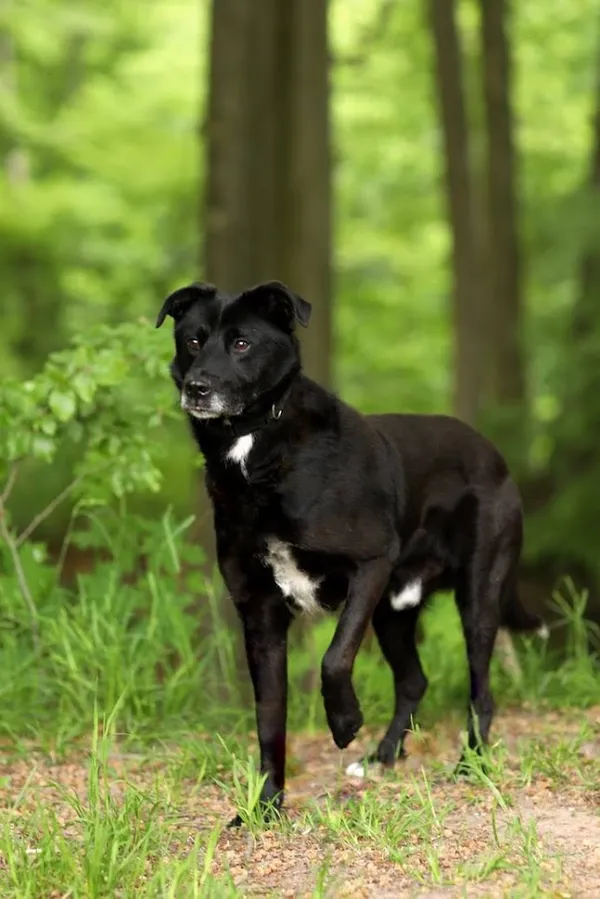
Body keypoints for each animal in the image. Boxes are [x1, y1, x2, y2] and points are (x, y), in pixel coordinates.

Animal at [155, 280, 544, 824]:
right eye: (193, 340)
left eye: (241, 344)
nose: (197, 388)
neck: (257, 447)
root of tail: (492, 452)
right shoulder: (260, 615)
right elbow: (269, 721)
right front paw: (266, 807)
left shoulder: (370, 565)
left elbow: (334, 657)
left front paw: (344, 722)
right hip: (393, 611)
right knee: (415, 681)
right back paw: (382, 758)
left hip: (476, 598)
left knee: (481, 691)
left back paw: (470, 763)